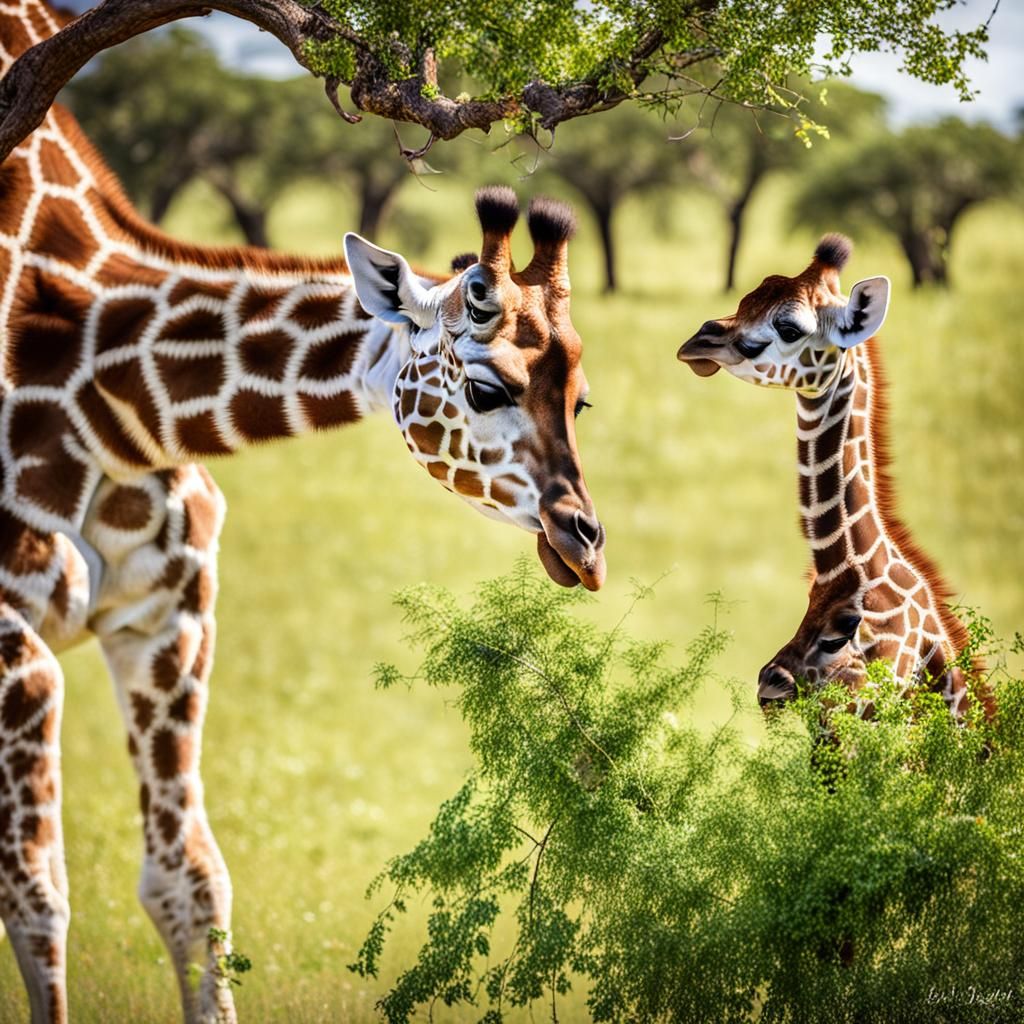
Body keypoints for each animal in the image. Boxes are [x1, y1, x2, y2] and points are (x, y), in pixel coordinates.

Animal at [0, 4, 606, 1021]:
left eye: (582, 399)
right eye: (486, 387)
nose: (586, 546)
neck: (117, 399)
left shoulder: (168, 619)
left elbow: (189, 882)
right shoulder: (13, 640)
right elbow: (36, 893)